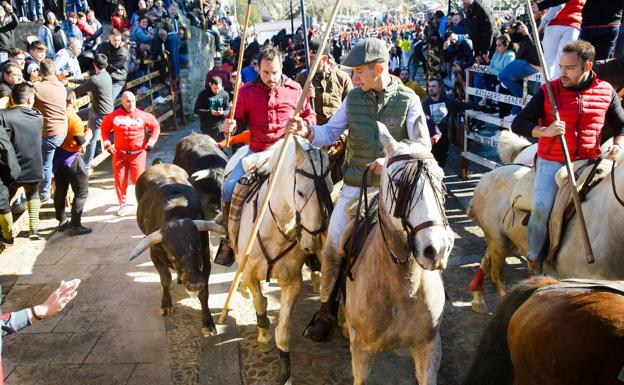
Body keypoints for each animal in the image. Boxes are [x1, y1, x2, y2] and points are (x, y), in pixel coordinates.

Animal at [130, 164, 227, 334]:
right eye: (171, 253)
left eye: (198, 247)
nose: (194, 283)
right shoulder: (155, 255)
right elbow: (165, 280)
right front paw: (166, 305)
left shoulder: (205, 259)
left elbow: (204, 292)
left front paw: (207, 322)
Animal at [233, 136, 332, 384]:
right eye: (300, 193)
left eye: (329, 186)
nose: (311, 243)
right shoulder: (249, 273)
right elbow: (259, 303)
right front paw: (263, 337)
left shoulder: (291, 281)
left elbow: (284, 331)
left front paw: (285, 373)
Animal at [468, 132, 624, 312]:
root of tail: (488, 176)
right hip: (498, 241)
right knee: (496, 276)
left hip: (504, 240)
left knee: (486, 260)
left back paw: (477, 296)